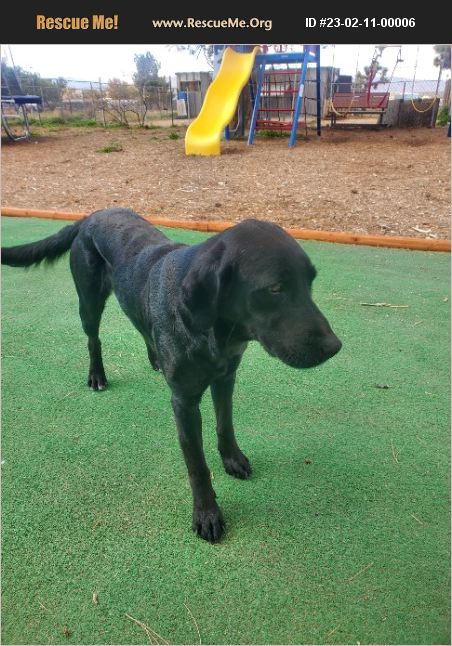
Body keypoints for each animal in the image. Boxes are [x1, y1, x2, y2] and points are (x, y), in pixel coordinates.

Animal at [2, 208, 341, 541]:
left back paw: (155, 358)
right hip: (89, 303)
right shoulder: (184, 403)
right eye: (275, 289)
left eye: (310, 282)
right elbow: (197, 465)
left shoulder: (226, 378)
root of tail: (91, 215)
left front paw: (232, 458)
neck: (216, 331)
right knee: (93, 339)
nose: (335, 347)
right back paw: (97, 375)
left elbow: (225, 424)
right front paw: (206, 514)